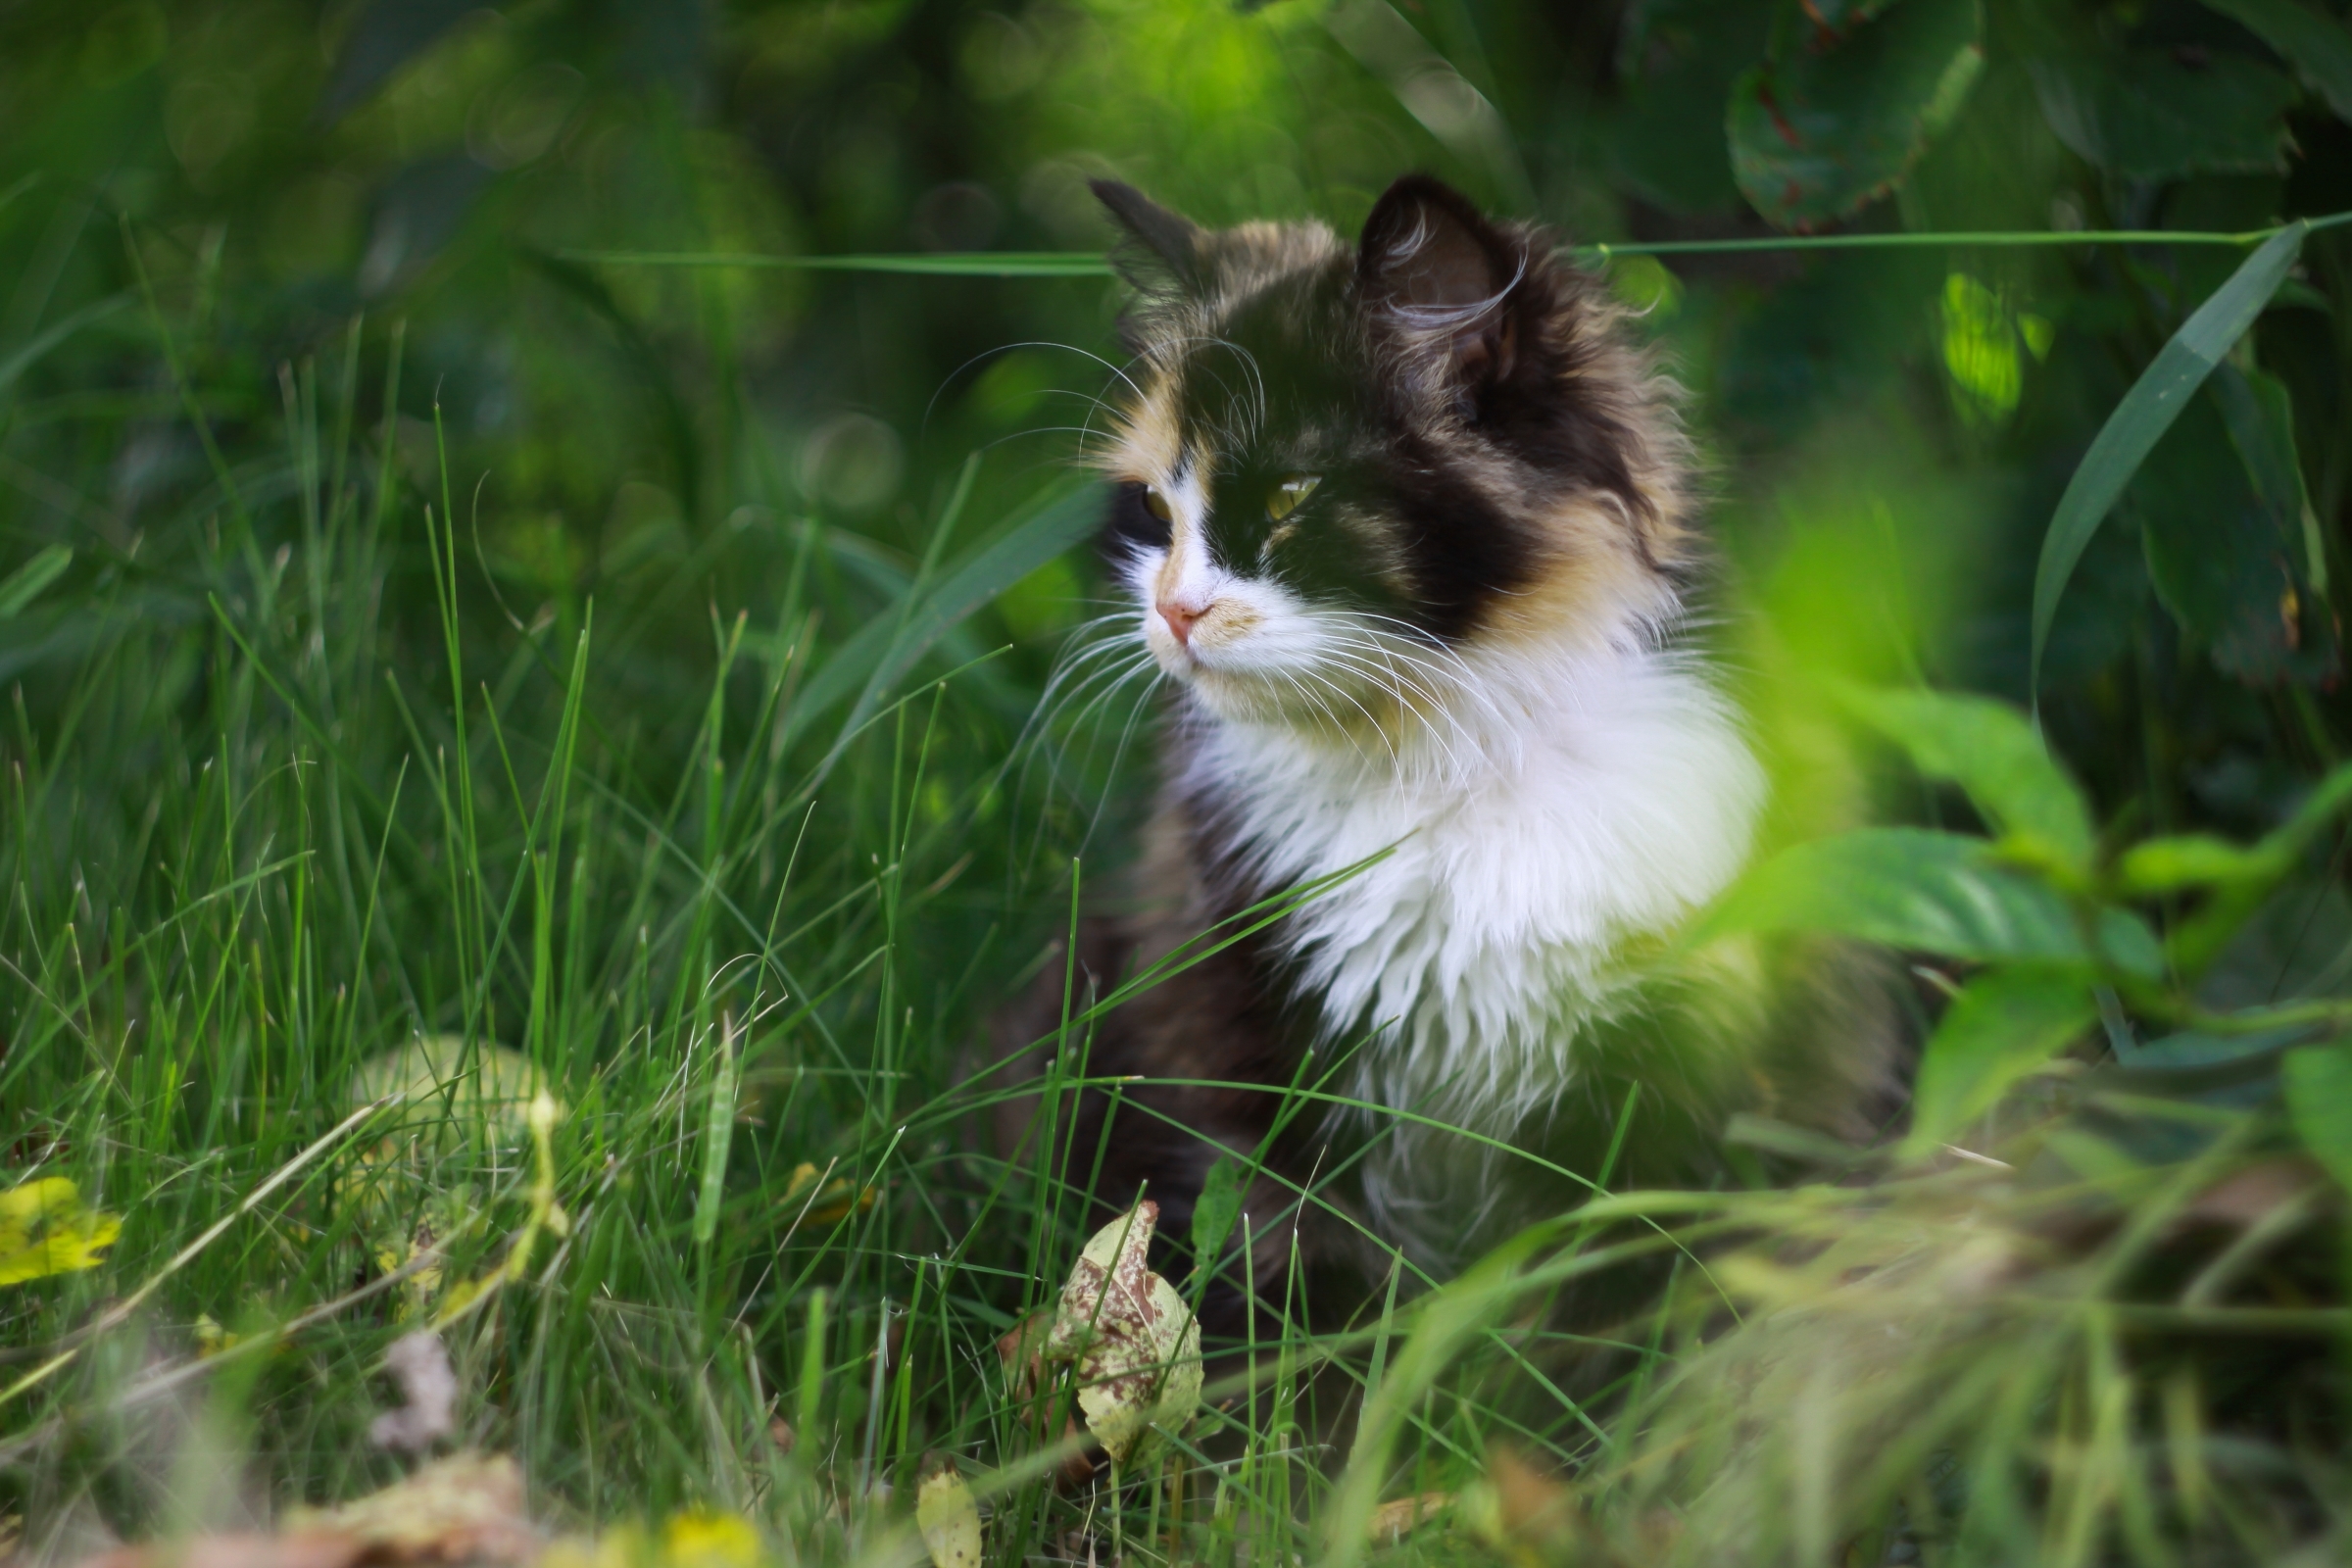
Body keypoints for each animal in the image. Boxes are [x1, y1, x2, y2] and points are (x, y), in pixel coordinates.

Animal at [997, 174, 1890, 1335]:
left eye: (1289, 499)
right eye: (1155, 508)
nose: (1175, 612)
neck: (1439, 757)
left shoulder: (1662, 1072)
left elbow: (1598, 1305)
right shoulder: (1252, 1042)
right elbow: (1299, 1277)